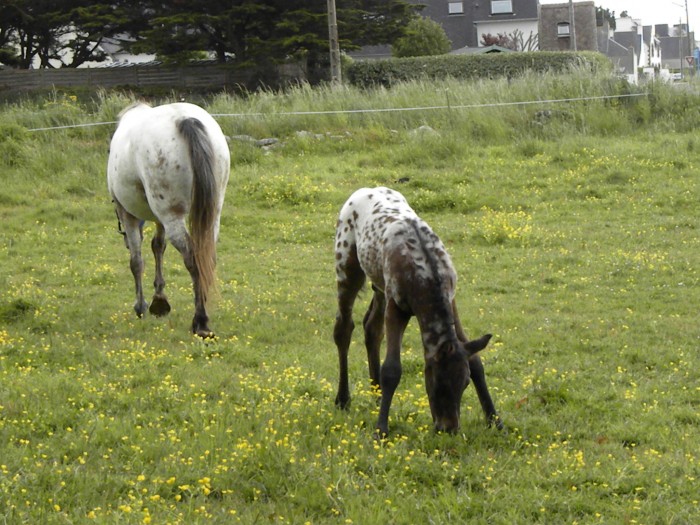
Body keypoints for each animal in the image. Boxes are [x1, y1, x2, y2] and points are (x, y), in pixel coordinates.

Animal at [108, 102, 230, 338]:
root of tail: (185, 119)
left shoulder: (127, 213)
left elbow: (136, 261)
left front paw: (141, 306)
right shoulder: (159, 219)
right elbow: (158, 246)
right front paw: (159, 300)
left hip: (171, 215)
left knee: (193, 259)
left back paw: (200, 321)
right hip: (211, 214)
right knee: (206, 257)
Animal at [332, 186, 500, 436]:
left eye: (465, 383)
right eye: (438, 381)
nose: (449, 428)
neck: (426, 278)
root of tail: (363, 191)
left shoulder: (452, 299)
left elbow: (476, 361)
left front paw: (496, 421)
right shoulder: (396, 305)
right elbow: (392, 369)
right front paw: (381, 430)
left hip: (379, 282)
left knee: (372, 327)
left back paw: (377, 396)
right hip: (347, 266)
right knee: (344, 327)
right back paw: (343, 399)